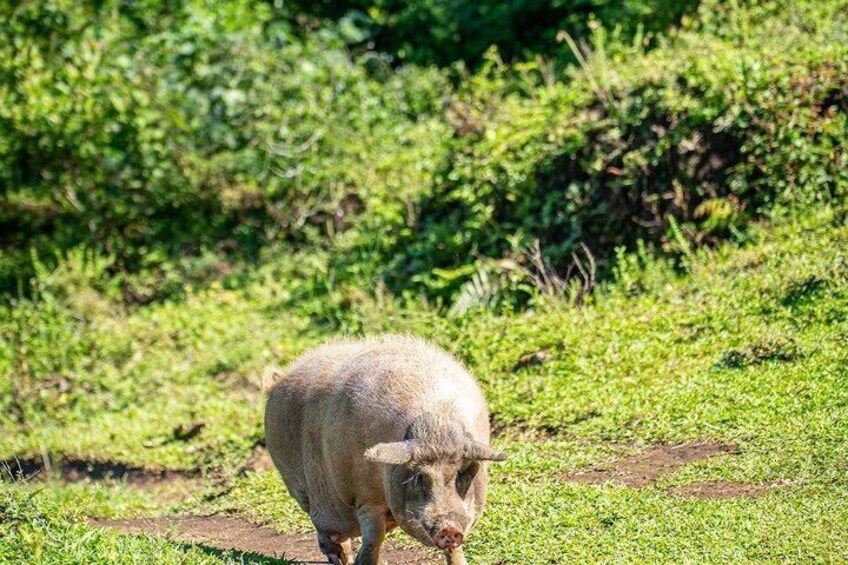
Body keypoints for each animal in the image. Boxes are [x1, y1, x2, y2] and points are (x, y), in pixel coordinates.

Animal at [264, 335, 505, 565]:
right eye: (419, 477)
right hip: (297, 485)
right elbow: (373, 539)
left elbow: (455, 551)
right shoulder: (365, 497)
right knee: (324, 532)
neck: (436, 425)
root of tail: (278, 378)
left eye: (460, 474)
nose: (449, 529)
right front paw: (362, 562)